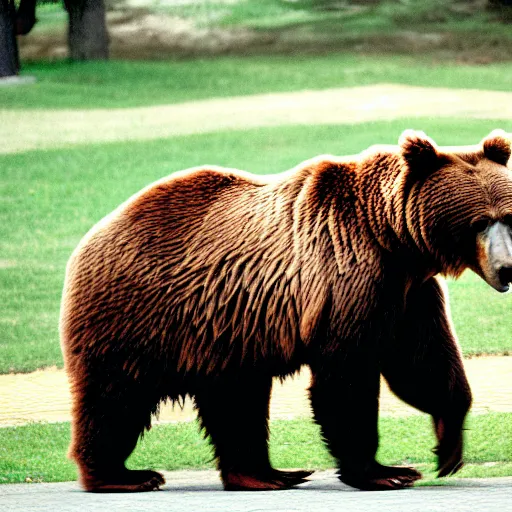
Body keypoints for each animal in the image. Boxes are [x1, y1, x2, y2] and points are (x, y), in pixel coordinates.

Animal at [61, 128, 512, 492]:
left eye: (507, 217)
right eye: (478, 222)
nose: (508, 266)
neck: (391, 236)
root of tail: (93, 234)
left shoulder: (407, 292)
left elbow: (422, 361)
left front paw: (448, 445)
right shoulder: (348, 277)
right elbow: (347, 375)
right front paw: (385, 471)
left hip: (223, 332)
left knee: (236, 402)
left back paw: (268, 475)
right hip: (140, 312)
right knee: (116, 396)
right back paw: (123, 475)